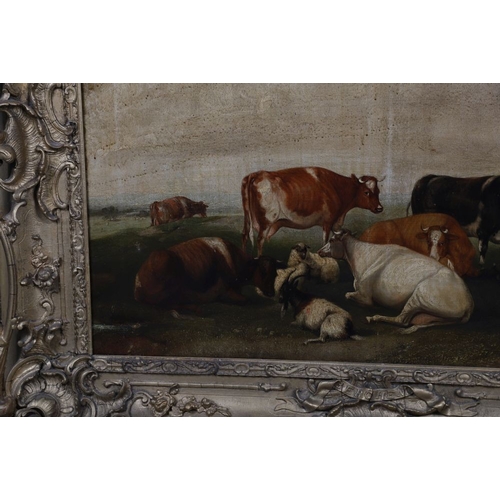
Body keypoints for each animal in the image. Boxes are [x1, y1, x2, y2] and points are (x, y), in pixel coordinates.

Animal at [134, 237, 283, 311]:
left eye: (275, 273)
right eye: (263, 272)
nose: (271, 292)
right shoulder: (229, 289)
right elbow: (247, 300)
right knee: (168, 304)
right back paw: (194, 306)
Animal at [241, 167, 383, 255]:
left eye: (378, 191)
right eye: (366, 192)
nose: (379, 208)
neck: (336, 187)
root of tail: (258, 174)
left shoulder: (335, 223)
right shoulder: (328, 222)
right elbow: (325, 241)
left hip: (248, 218)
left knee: (245, 235)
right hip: (266, 220)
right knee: (260, 240)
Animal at [318, 230, 474, 334]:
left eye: (331, 240)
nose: (319, 251)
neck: (362, 256)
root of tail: (469, 304)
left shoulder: (365, 296)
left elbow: (348, 295)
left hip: (419, 296)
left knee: (402, 320)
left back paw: (375, 318)